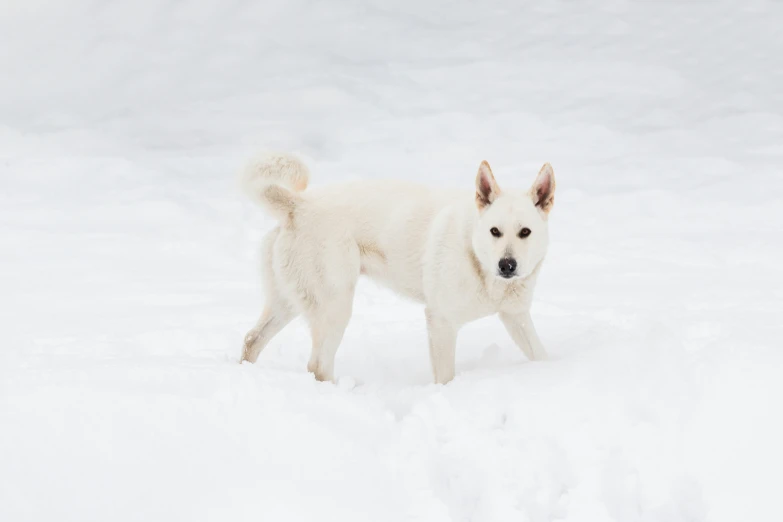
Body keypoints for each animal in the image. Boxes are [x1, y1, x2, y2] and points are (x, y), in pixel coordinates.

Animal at [242, 153, 556, 382]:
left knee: (251, 340)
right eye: (495, 231)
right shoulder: (441, 322)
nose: (507, 265)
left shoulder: (515, 317)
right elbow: (445, 378)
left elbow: (541, 354)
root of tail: (298, 204)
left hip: (290, 302)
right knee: (317, 365)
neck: (477, 257)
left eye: (525, 232)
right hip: (335, 307)